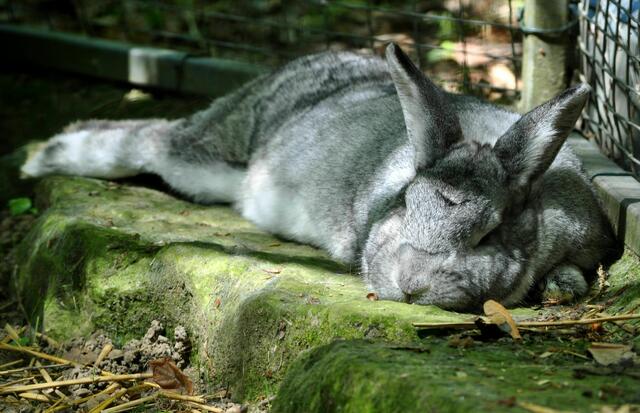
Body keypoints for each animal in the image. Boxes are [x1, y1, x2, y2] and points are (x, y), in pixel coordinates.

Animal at [21, 43, 620, 312]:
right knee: (146, 140)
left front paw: (560, 287)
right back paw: (39, 156)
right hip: (208, 154)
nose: (411, 284)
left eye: (489, 233)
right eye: (406, 202)